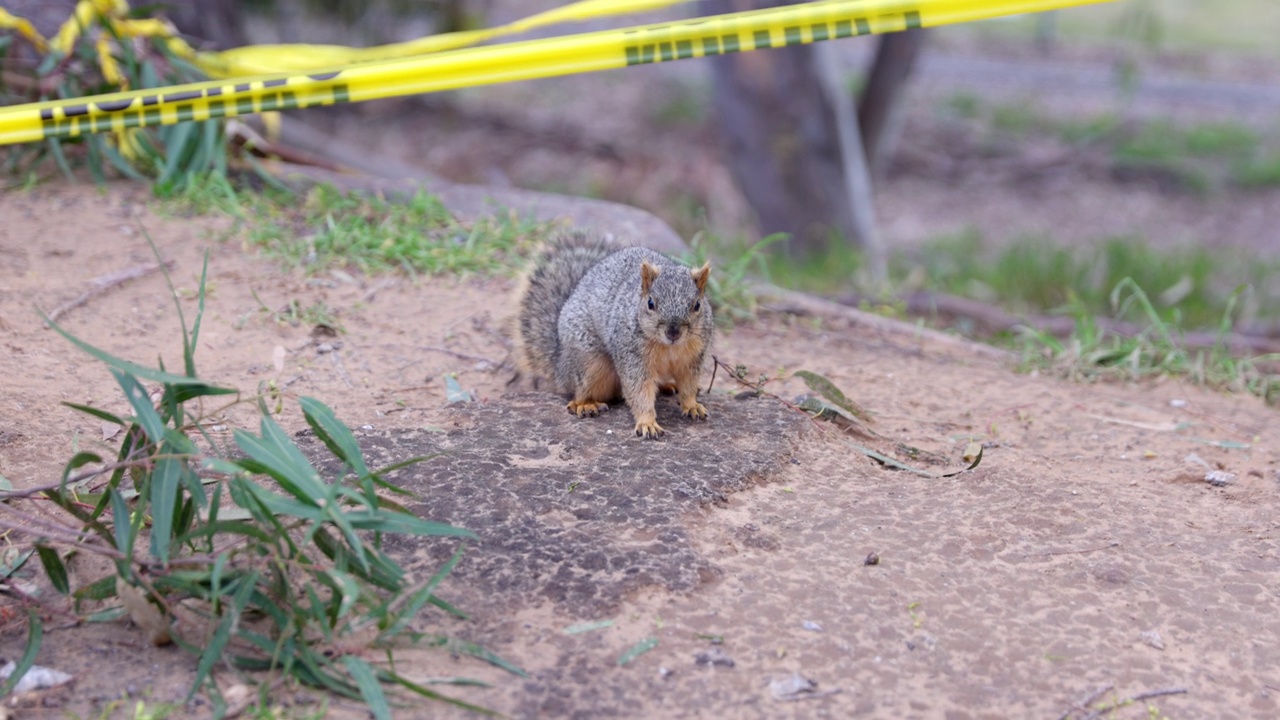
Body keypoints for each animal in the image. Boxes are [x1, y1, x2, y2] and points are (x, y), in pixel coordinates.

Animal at [509, 229, 711, 438]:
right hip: (591, 366)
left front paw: (692, 405)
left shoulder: (693, 359)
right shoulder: (632, 358)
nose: (673, 332)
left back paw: (667, 386)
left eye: (697, 304)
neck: (668, 347)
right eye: (650, 303)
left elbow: (688, 386)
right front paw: (647, 423)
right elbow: (639, 391)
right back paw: (585, 405)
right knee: (578, 393)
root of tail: (559, 365)